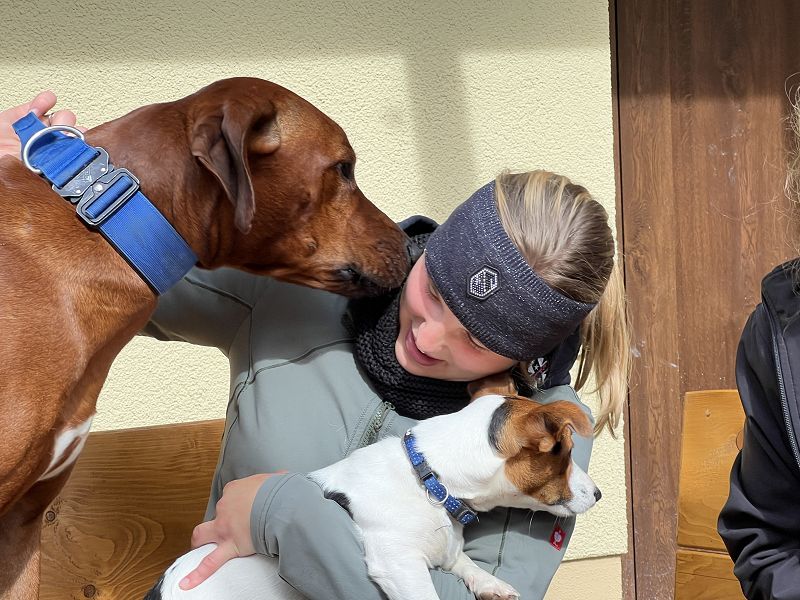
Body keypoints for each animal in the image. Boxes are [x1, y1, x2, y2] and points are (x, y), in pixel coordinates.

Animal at [149, 391, 598, 600]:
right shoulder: (400, 566)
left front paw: (491, 583)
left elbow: (466, 563)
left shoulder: (446, 551)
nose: (599, 493)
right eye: (566, 454)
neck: (428, 479)